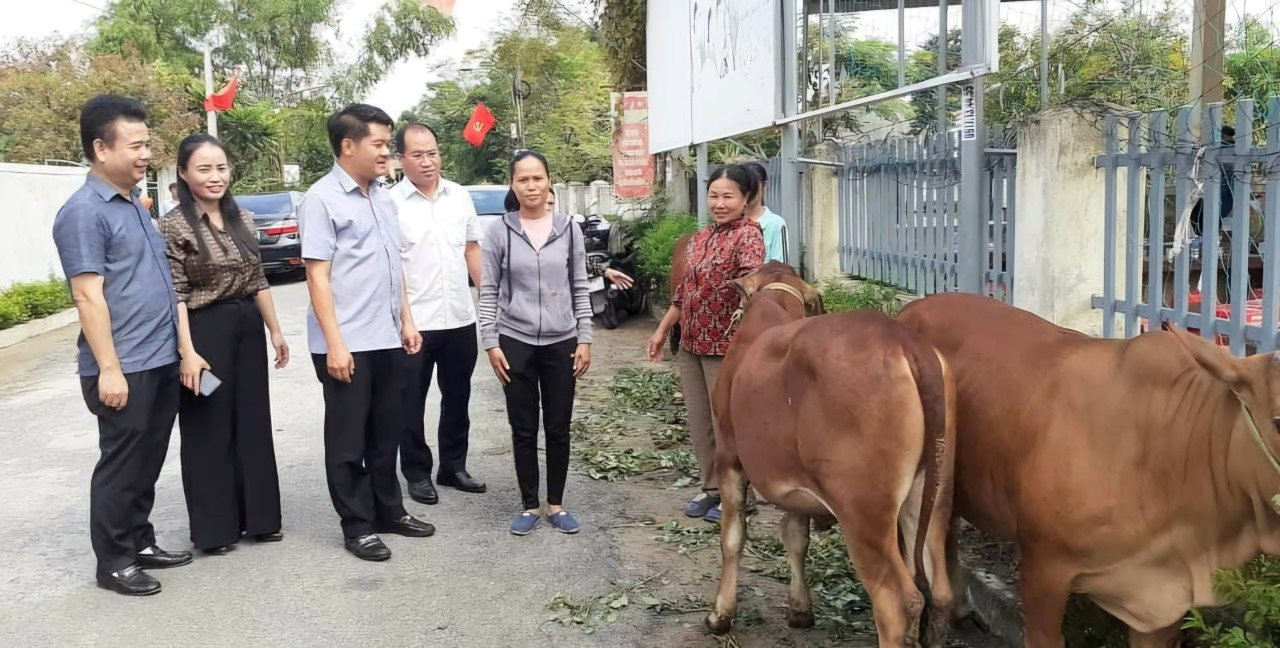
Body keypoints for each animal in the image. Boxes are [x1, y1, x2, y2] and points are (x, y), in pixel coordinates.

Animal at [706, 265, 957, 648]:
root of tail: (904, 342)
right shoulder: (793, 482)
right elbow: (795, 536)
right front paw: (800, 609)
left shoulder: (729, 458)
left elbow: (733, 537)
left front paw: (720, 615)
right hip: (935, 494)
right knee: (939, 591)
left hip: (863, 512)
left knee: (898, 601)